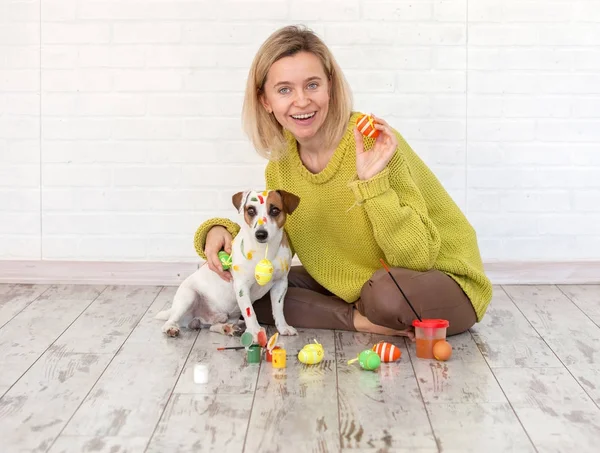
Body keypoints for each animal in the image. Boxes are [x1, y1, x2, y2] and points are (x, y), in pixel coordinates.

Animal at [155, 188, 300, 342]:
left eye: (275, 210)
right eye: (251, 210)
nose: (260, 234)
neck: (265, 251)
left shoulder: (280, 284)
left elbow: (278, 309)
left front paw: (283, 328)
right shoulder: (242, 286)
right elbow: (250, 312)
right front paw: (255, 332)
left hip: (230, 315)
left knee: (213, 326)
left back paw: (227, 328)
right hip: (188, 297)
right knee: (169, 321)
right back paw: (171, 328)